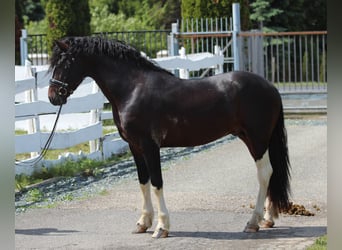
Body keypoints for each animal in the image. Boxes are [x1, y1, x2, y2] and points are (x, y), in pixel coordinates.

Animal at [47, 36, 288, 238]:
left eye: (64, 63)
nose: (52, 96)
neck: (133, 88)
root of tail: (270, 87)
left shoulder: (150, 145)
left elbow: (156, 183)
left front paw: (162, 227)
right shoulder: (135, 147)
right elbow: (143, 182)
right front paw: (142, 223)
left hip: (257, 139)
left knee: (264, 173)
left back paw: (253, 222)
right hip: (248, 137)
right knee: (270, 173)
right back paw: (267, 219)